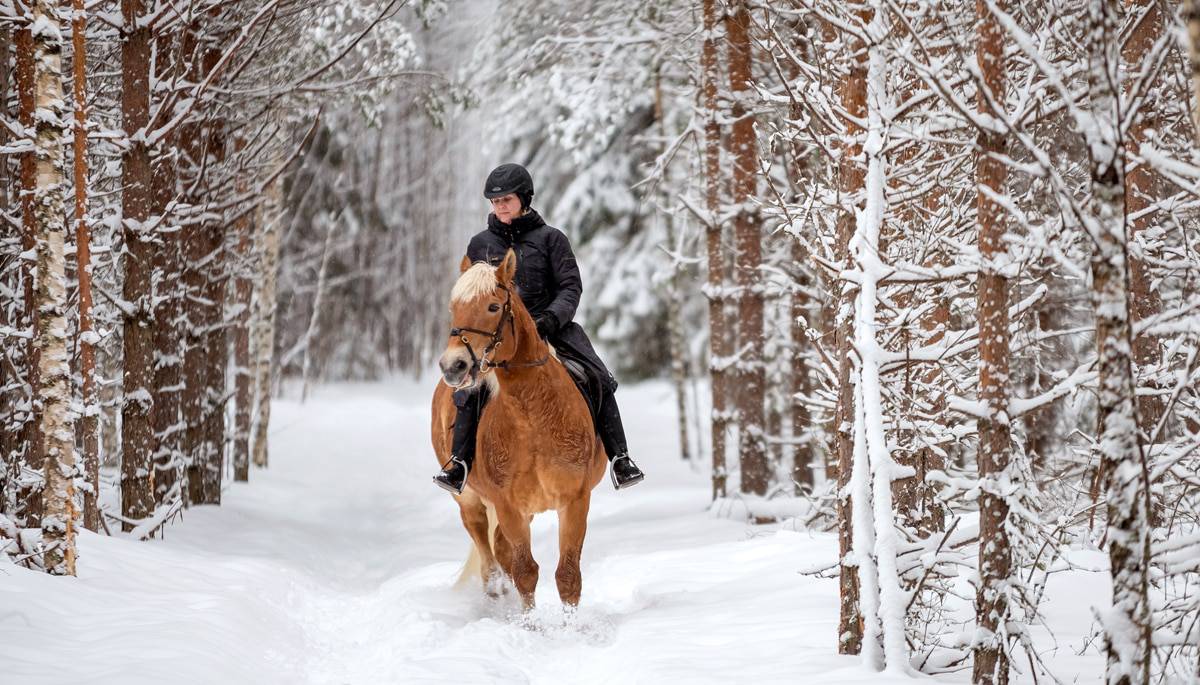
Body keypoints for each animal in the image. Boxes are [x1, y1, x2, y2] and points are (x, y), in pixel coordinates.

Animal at [431, 249, 608, 609]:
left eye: (493, 307)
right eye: (454, 307)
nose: (453, 366)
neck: (533, 417)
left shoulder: (574, 500)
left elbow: (568, 576)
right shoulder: (508, 505)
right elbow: (526, 572)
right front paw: (528, 621)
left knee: (500, 549)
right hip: (469, 500)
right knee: (487, 549)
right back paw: (495, 590)